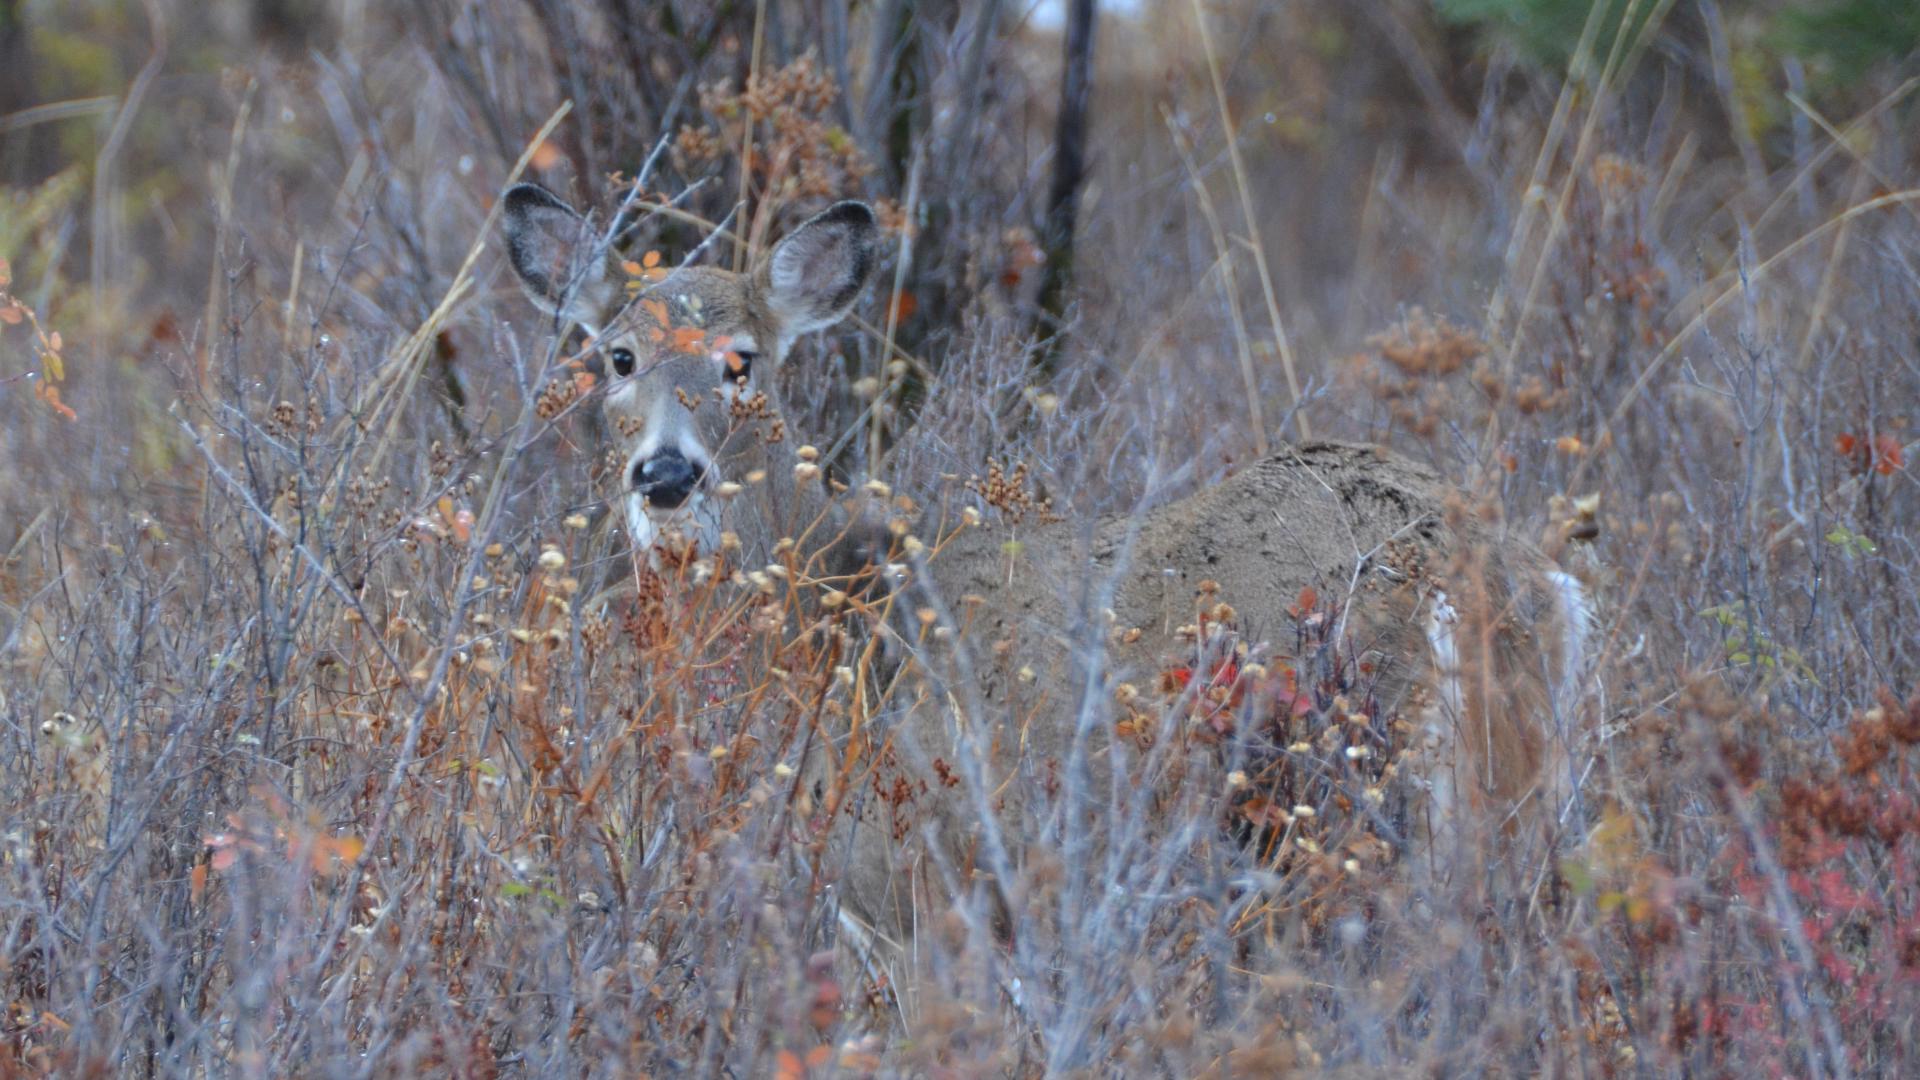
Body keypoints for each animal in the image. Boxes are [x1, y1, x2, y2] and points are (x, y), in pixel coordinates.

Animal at [495, 182, 1589, 968]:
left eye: (742, 362)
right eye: (617, 356)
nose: (666, 474)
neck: (829, 626)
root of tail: (1495, 573)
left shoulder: (913, 881)